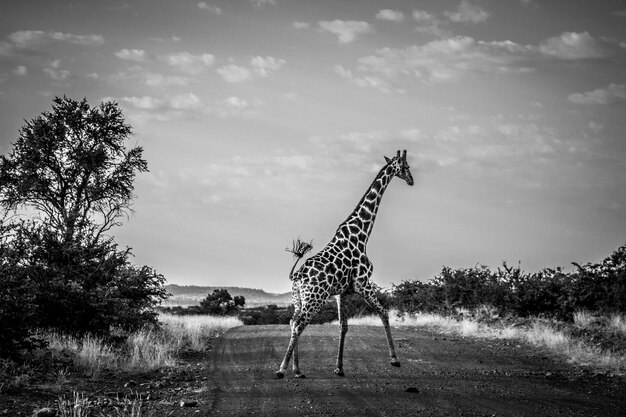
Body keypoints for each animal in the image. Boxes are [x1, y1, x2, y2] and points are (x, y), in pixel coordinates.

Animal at [274, 149, 412, 376]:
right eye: (406, 167)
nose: (411, 180)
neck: (362, 235)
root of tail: (298, 276)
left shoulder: (342, 292)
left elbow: (343, 326)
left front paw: (339, 368)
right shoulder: (363, 283)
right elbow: (383, 313)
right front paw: (395, 359)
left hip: (298, 298)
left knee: (293, 321)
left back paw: (298, 369)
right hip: (315, 298)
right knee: (300, 323)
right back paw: (282, 369)